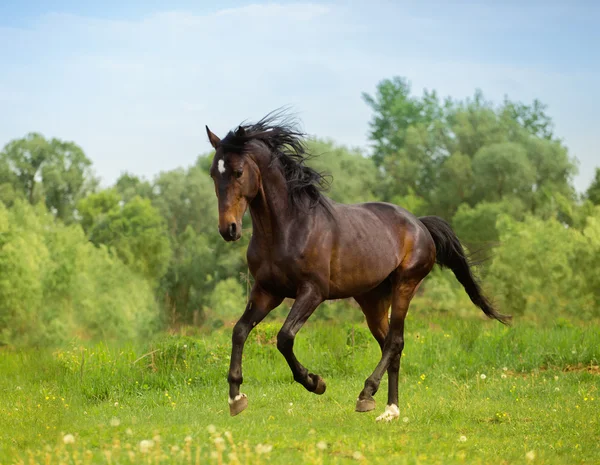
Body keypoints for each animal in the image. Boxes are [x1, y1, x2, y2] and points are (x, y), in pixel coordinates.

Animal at [206, 109, 510, 420]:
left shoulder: (312, 292)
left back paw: (367, 395)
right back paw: (389, 409)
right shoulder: (268, 291)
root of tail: (419, 224)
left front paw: (315, 382)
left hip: (405, 285)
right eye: (213, 174)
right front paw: (236, 397)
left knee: (395, 341)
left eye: (238, 172)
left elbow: (284, 337)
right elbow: (239, 331)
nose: (228, 229)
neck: (288, 227)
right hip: (372, 300)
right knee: (390, 344)